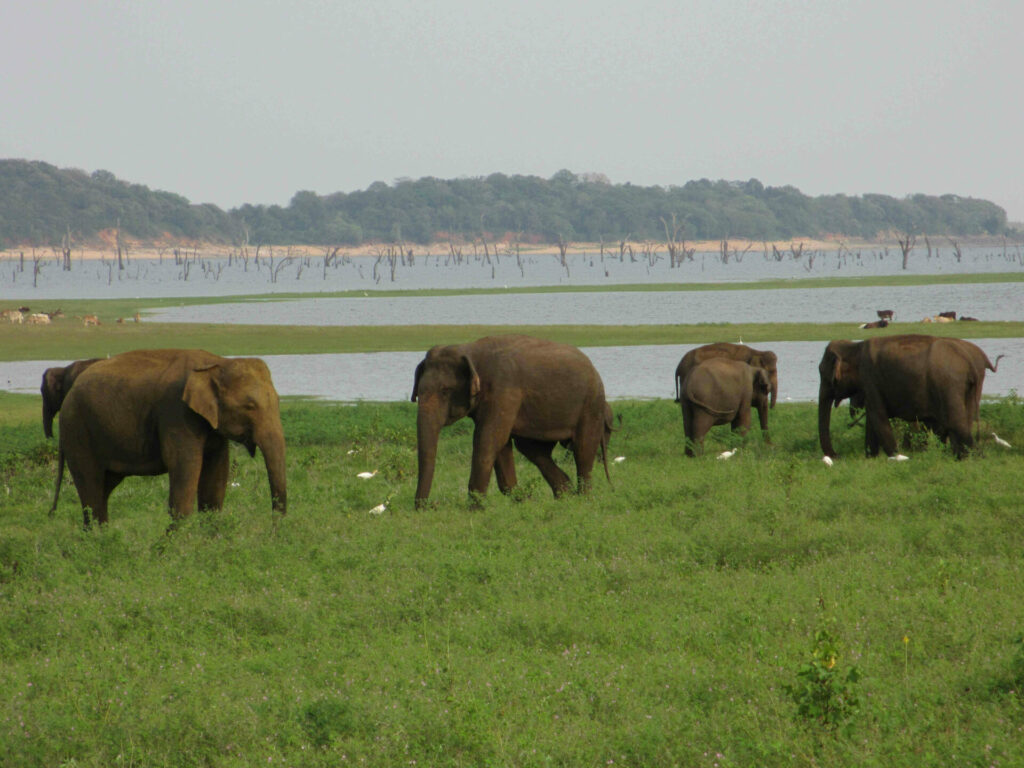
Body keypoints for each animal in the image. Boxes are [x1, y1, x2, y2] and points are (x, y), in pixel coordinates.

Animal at [58, 350, 286, 528]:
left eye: (278, 401)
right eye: (250, 406)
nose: (274, 533)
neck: (217, 363)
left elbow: (215, 481)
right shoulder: (176, 412)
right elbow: (184, 468)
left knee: (103, 490)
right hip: (77, 430)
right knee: (91, 491)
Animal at [411, 335, 610, 505]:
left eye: (445, 391)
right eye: (418, 392)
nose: (431, 506)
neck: (469, 349)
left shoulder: (504, 390)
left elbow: (488, 439)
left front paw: (474, 509)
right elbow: (500, 442)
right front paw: (522, 500)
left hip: (591, 404)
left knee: (583, 449)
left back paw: (582, 499)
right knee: (532, 449)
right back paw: (565, 495)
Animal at [815, 335, 999, 456]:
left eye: (824, 374)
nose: (836, 456)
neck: (855, 347)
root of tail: (968, 360)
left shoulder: (870, 378)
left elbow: (878, 416)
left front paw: (896, 457)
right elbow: (872, 421)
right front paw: (871, 457)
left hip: (949, 383)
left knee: (956, 421)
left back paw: (967, 457)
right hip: (970, 387)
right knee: (964, 419)